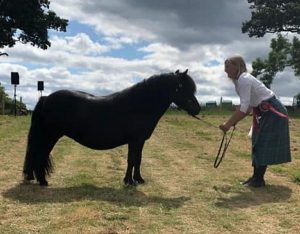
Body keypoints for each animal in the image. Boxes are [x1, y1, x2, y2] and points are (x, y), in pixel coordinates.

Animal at [23, 68, 200, 186]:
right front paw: (129, 181)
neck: (138, 106)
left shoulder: (139, 141)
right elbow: (132, 160)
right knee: (41, 155)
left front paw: (138, 179)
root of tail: (45, 99)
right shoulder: (135, 140)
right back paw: (43, 181)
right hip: (49, 136)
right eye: (182, 87)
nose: (197, 108)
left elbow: (138, 159)